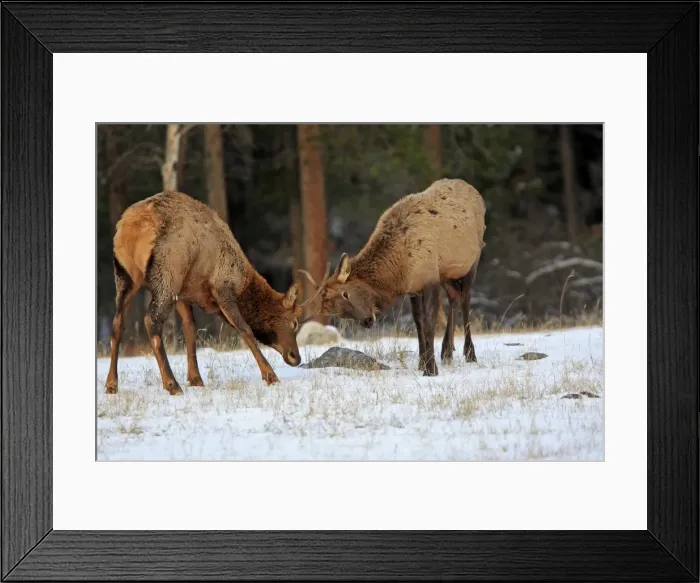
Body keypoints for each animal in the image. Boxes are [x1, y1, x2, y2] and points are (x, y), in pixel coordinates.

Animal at [104, 191, 324, 395]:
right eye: (294, 322)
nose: (295, 356)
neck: (242, 283)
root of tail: (131, 227)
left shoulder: (184, 293)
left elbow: (190, 329)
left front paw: (196, 379)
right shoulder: (221, 288)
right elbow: (245, 329)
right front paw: (270, 375)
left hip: (125, 275)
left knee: (117, 323)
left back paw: (111, 384)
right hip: (167, 275)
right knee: (151, 321)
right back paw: (171, 384)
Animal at [300, 178, 486, 377]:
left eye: (345, 293)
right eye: (338, 312)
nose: (367, 321)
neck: (399, 268)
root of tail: (475, 192)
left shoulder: (430, 278)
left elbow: (429, 323)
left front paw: (430, 369)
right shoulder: (415, 286)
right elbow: (418, 323)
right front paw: (422, 363)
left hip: (472, 260)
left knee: (465, 298)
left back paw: (470, 354)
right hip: (447, 273)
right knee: (454, 297)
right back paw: (447, 352)